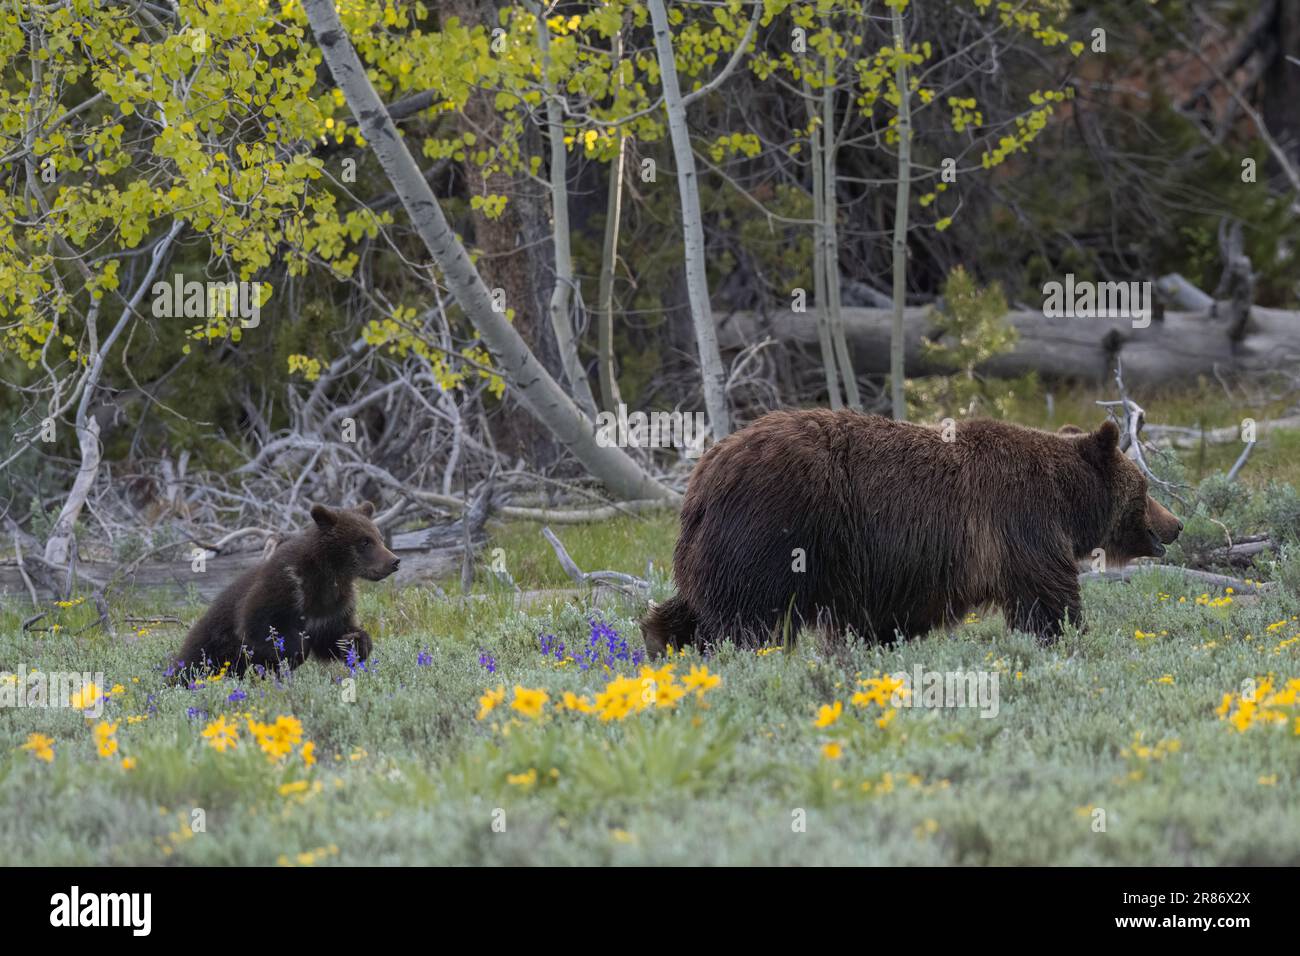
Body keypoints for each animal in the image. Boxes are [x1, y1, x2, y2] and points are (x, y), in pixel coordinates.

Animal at [172, 504, 397, 676]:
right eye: (364, 541)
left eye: (379, 537)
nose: (394, 561)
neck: (327, 575)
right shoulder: (283, 587)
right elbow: (257, 626)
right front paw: (294, 653)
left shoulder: (334, 605)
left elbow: (333, 636)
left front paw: (356, 642)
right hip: (210, 647)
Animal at [644, 411, 1185, 658]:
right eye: (1145, 488)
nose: (1176, 524)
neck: (1066, 502)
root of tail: (704, 474)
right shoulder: (1020, 524)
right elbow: (1046, 599)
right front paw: (1068, 636)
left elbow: (887, 616)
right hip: (775, 530)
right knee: (748, 614)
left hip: (714, 546)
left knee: (695, 605)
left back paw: (661, 642)